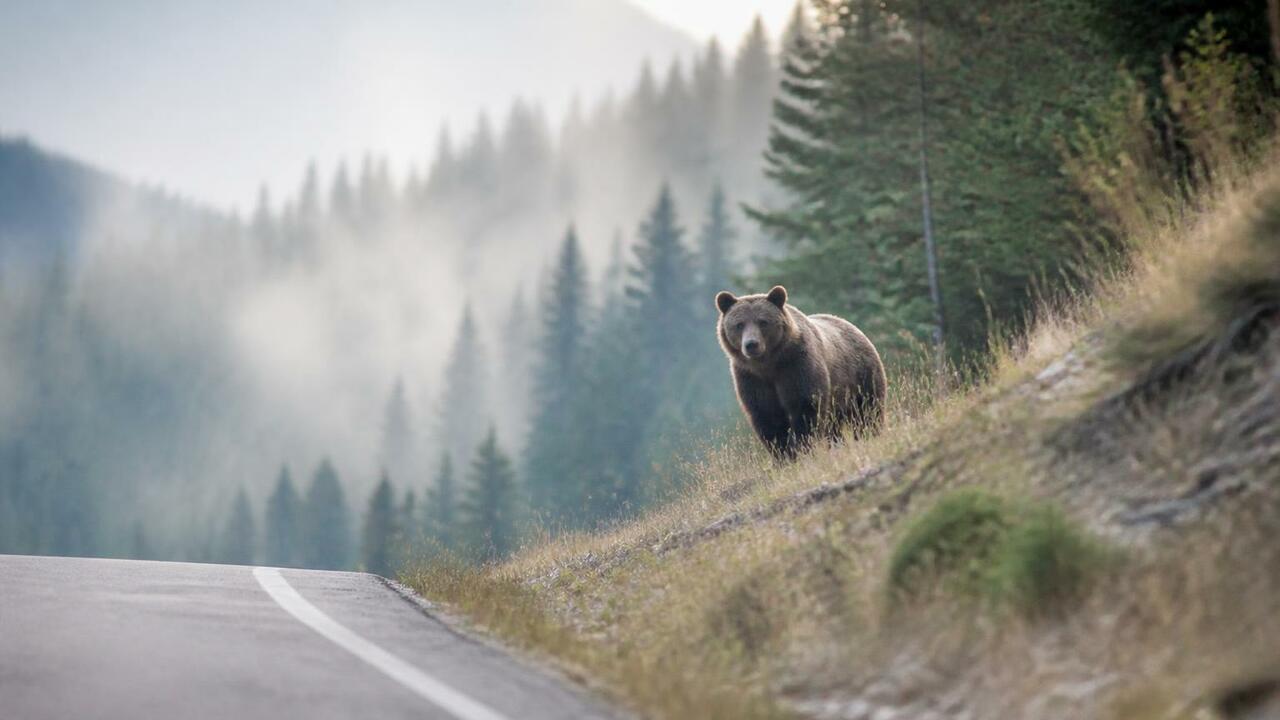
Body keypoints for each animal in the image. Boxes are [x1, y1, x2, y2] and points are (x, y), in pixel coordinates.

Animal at [716, 285, 887, 459]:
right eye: (739, 324)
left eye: (763, 322)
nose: (751, 344)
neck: (769, 364)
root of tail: (852, 326)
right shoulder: (751, 378)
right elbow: (767, 416)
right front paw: (784, 454)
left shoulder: (797, 366)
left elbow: (805, 407)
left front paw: (802, 448)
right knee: (834, 427)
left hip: (861, 376)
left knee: (867, 412)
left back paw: (869, 437)